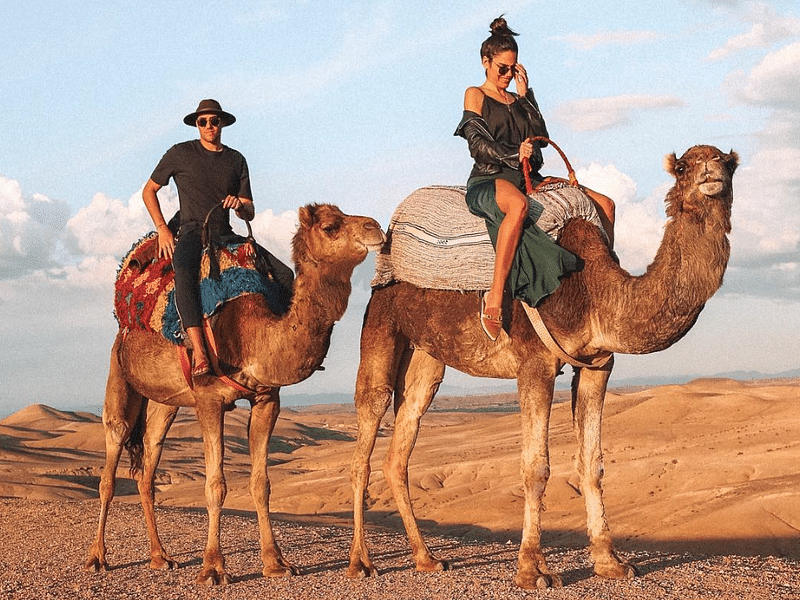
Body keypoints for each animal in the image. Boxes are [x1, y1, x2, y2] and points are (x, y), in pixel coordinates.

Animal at [87, 204, 384, 584]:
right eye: (331, 226)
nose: (376, 228)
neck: (252, 336)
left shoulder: (267, 399)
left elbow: (261, 483)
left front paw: (276, 563)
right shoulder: (209, 399)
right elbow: (216, 484)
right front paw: (213, 567)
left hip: (165, 402)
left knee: (147, 466)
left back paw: (160, 556)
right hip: (119, 369)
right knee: (111, 458)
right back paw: (97, 557)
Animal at [346, 146, 740, 592]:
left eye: (728, 162)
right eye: (685, 166)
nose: (712, 172)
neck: (591, 291)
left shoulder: (598, 365)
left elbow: (592, 464)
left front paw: (610, 562)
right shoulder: (535, 365)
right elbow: (536, 467)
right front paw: (533, 569)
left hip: (428, 353)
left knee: (404, 436)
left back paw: (426, 558)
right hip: (381, 320)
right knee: (369, 418)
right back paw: (360, 563)